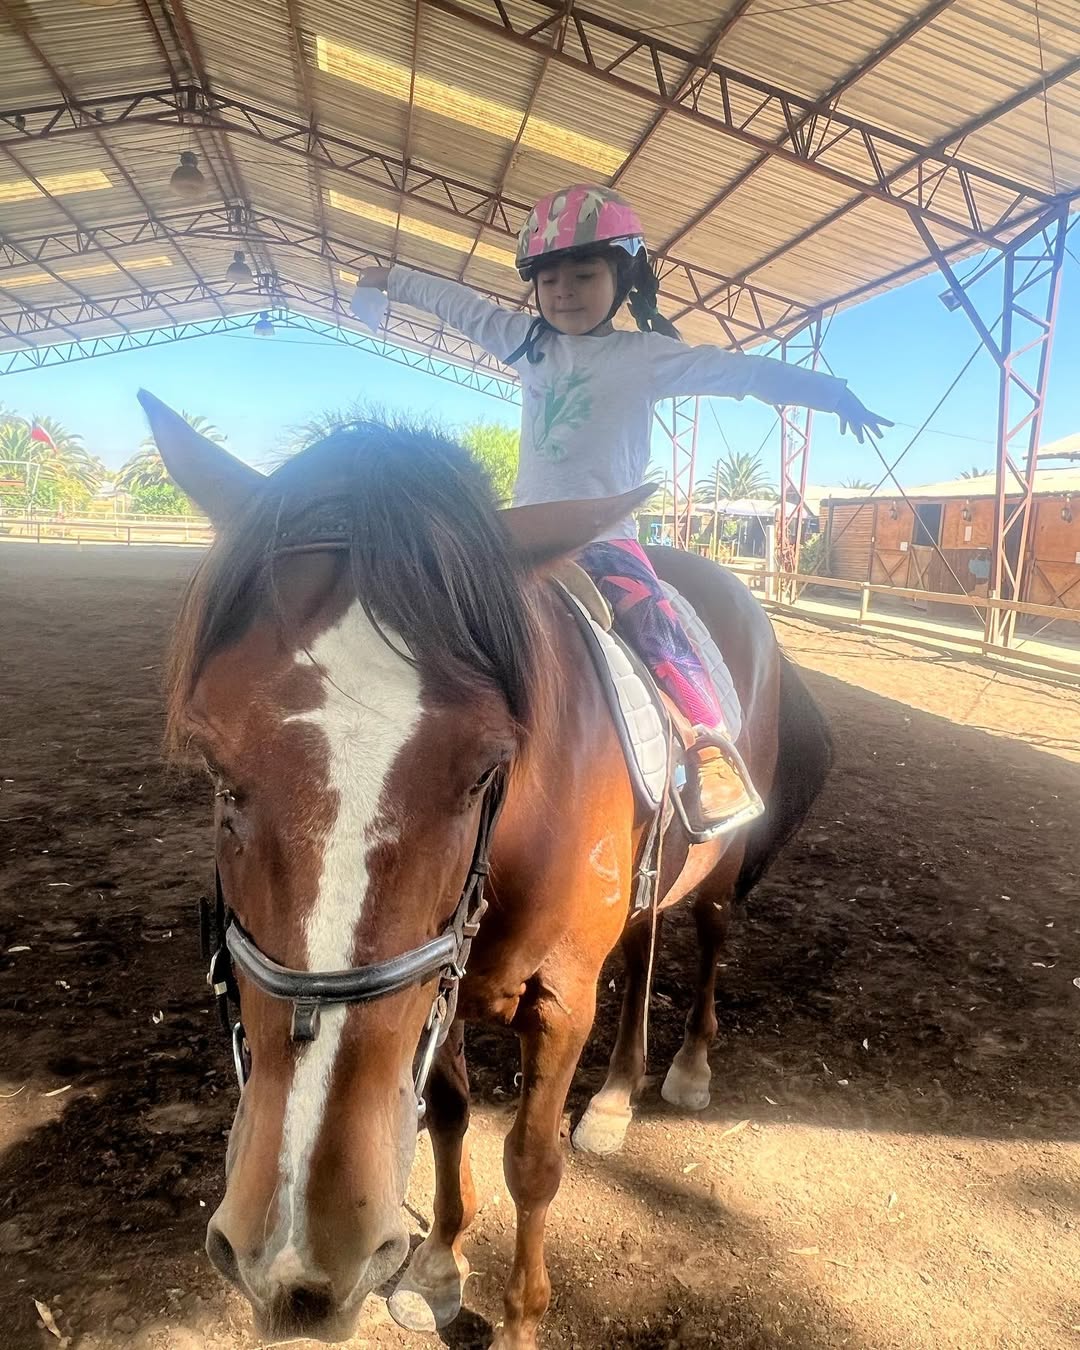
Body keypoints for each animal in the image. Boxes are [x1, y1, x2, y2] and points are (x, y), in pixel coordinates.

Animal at [143, 391, 830, 1349]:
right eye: (214, 766)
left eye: (484, 769)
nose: (298, 1256)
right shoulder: (443, 983)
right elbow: (447, 1115)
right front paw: (437, 1266)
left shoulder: (559, 998)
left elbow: (531, 1163)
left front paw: (517, 1321)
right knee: (645, 948)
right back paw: (616, 1097)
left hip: (720, 872)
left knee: (708, 938)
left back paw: (688, 1067)